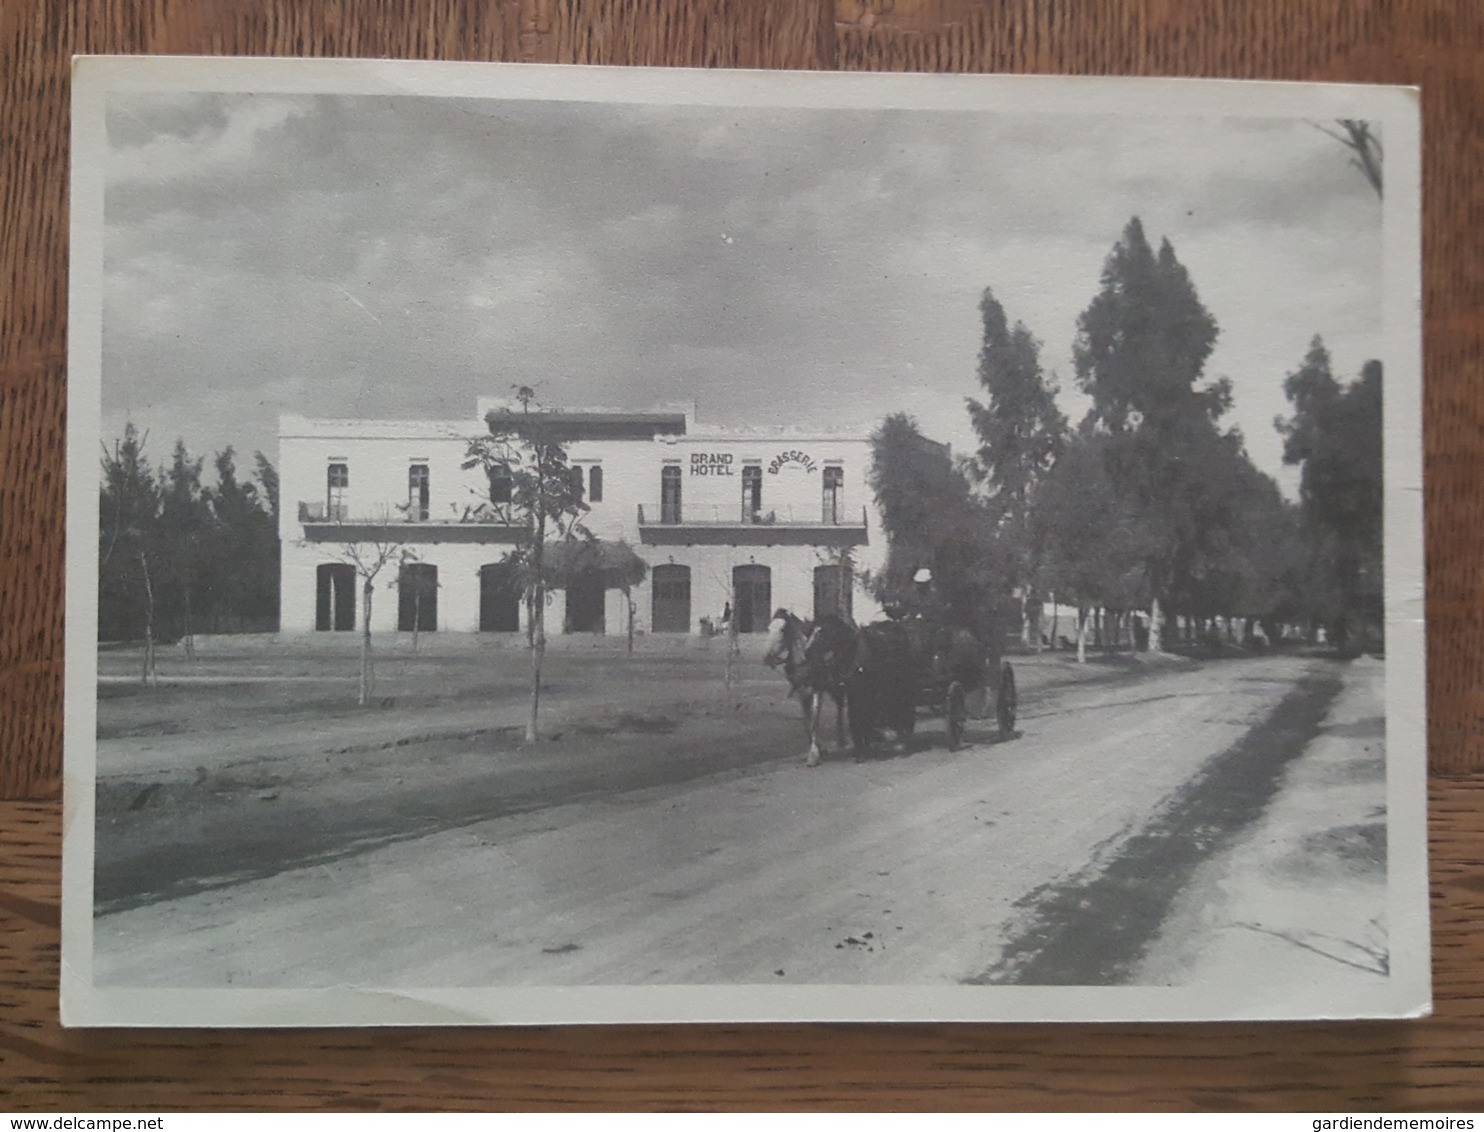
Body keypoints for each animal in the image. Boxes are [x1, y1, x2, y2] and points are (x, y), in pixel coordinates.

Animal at [765, 611, 860, 771]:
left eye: (783, 630)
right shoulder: (802, 693)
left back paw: (843, 739)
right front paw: (818, 749)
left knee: (842, 707)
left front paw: (814, 755)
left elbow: (815, 721)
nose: (768, 658)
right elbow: (807, 722)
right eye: (769, 629)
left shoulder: (817, 689)